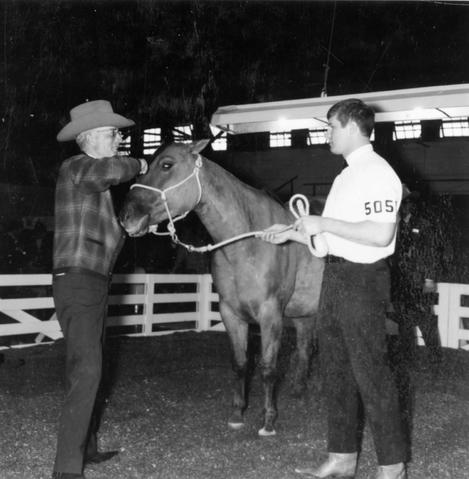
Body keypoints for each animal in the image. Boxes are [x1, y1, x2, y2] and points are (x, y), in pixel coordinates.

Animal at [119, 141, 324, 436]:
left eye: (167, 164)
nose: (127, 216)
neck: (249, 241)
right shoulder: (230, 313)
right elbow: (240, 364)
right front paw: (238, 413)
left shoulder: (271, 315)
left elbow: (268, 368)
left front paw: (268, 420)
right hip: (304, 313)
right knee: (305, 349)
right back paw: (298, 391)